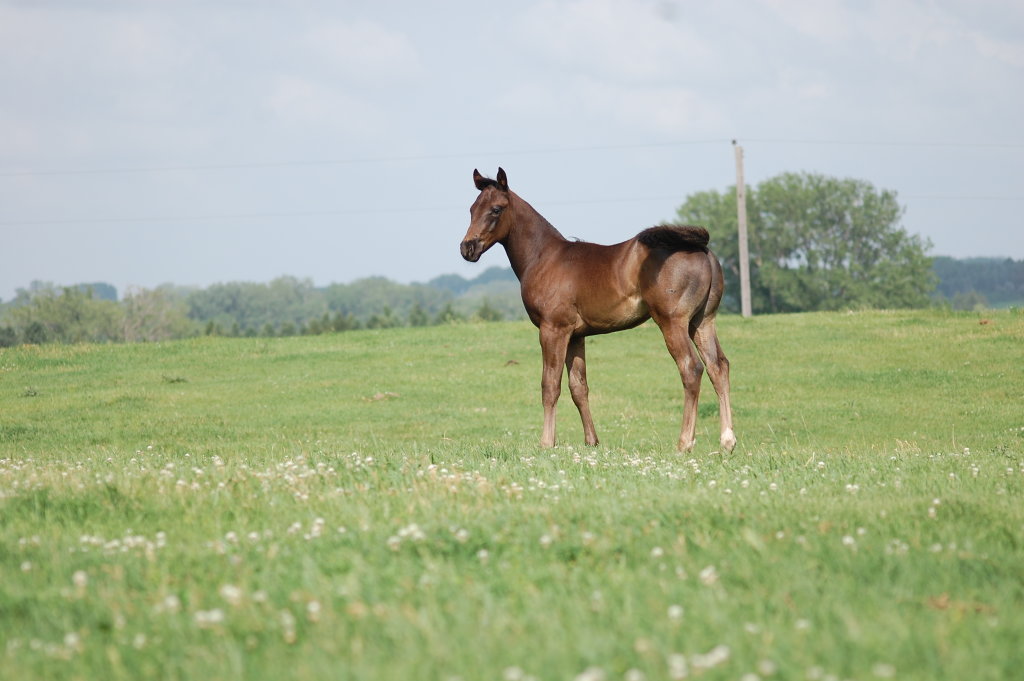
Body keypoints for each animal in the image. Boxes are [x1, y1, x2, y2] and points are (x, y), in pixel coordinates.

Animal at [460, 167, 736, 453]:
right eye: (472, 209)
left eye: (496, 209)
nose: (467, 248)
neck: (544, 257)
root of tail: (701, 249)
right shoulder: (576, 335)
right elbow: (578, 387)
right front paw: (591, 441)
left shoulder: (553, 329)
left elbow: (550, 385)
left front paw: (547, 442)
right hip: (702, 322)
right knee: (718, 367)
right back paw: (727, 441)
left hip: (673, 322)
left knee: (691, 368)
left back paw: (684, 443)